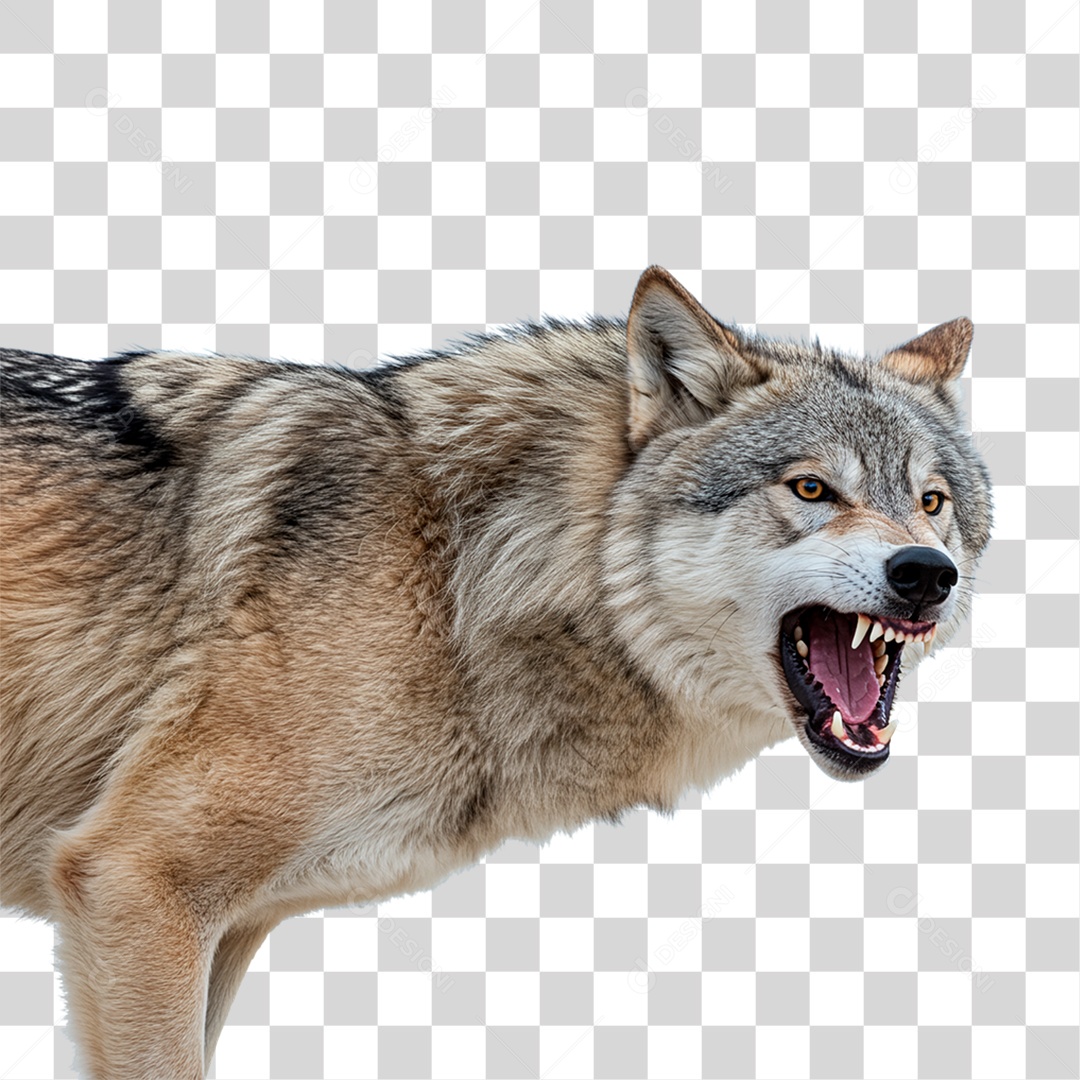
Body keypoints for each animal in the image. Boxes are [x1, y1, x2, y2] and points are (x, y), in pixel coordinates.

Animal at [0, 266, 991, 1078]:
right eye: (812, 488)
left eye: (932, 502)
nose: (926, 574)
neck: (457, 570)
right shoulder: (134, 883)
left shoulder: (229, 922)